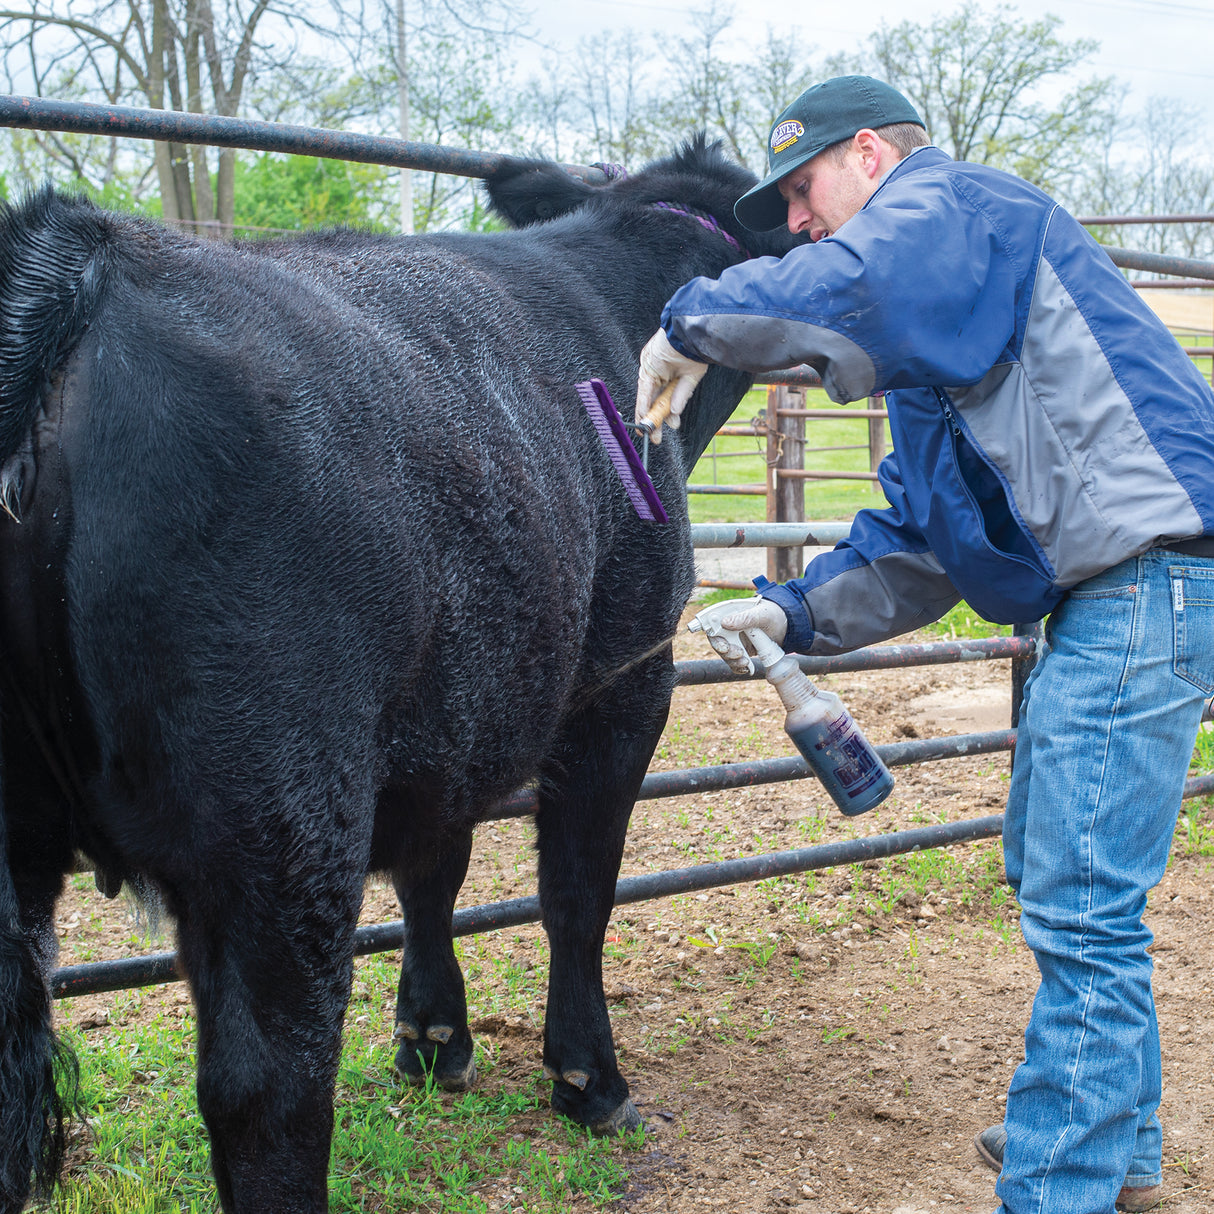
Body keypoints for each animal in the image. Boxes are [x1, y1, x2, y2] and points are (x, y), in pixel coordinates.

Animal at [2, 144, 806, 1214]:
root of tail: (73, 257)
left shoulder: (449, 716)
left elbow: (438, 870)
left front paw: (432, 1038)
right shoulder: (625, 683)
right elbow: (577, 892)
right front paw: (588, 1078)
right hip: (278, 807)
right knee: (268, 1085)